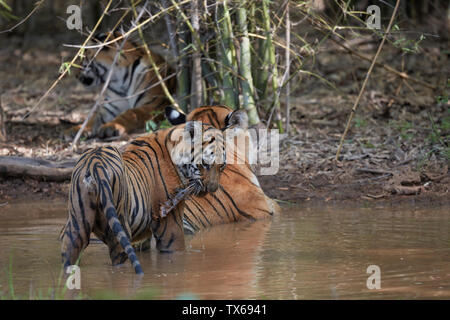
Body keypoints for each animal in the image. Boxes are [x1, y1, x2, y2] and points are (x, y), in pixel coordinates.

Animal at [59, 117, 246, 276]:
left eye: (221, 166)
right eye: (205, 164)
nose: (212, 189)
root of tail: (95, 164)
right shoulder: (170, 226)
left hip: (77, 226)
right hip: (118, 228)